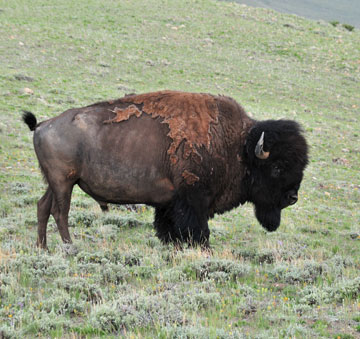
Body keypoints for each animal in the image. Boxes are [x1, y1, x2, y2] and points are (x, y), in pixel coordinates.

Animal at [22, 91, 308, 250]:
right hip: (64, 182)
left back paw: (43, 248)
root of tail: (42, 125)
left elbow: (168, 228)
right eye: (277, 167)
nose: (293, 197)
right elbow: (198, 231)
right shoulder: (192, 201)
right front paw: (202, 249)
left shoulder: (169, 203)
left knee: (43, 207)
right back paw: (70, 247)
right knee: (60, 212)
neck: (238, 146)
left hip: (55, 183)